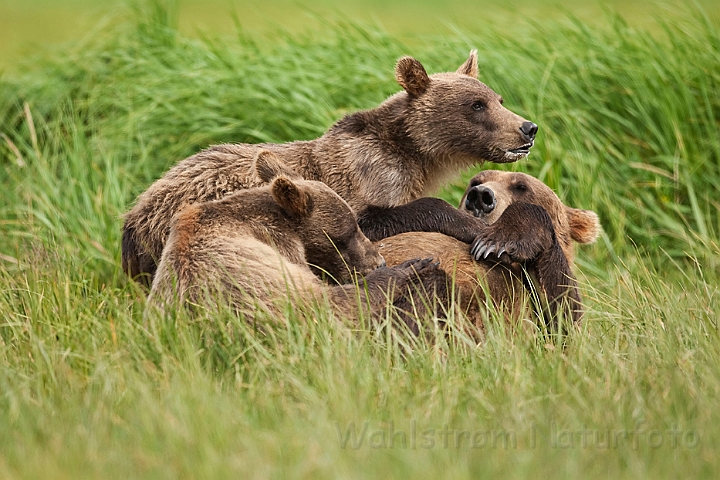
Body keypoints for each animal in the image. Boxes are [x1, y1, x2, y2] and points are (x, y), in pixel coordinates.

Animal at [121, 51, 536, 286]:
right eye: (476, 105)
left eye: (498, 98)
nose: (527, 128)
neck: (414, 157)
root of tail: (134, 214)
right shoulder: (357, 184)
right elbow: (381, 218)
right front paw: (479, 230)